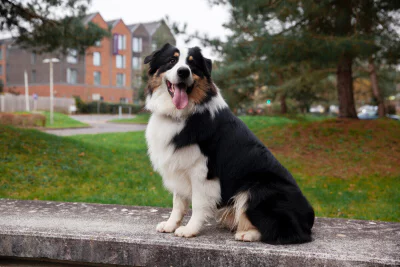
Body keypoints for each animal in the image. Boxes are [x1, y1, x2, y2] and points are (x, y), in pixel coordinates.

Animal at [144, 43, 316, 245]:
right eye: (172, 60)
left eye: (192, 65)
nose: (183, 72)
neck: (181, 114)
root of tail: (309, 217)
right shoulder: (179, 164)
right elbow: (178, 203)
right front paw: (171, 225)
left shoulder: (203, 171)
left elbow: (198, 203)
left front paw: (189, 230)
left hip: (258, 189)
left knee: (288, 233)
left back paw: (247, 234)